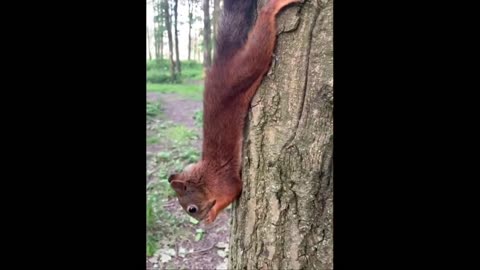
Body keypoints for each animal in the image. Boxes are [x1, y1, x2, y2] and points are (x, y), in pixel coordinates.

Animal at [167, 0, 298, 224]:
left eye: (192, 209)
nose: (200, 221)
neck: (205, 177)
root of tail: (220, 63)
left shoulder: (223, 181)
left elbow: (234, 191)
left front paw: (213, 214)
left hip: (244, 69)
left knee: (259, 43)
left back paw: (272, 7)